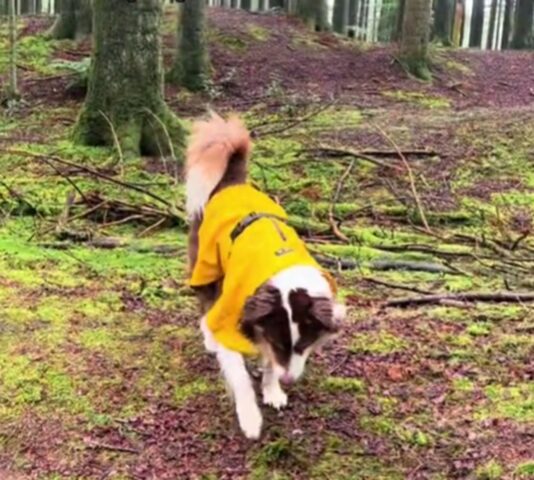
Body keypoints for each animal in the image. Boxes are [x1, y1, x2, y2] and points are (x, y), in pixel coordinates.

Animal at [186, 111, 350, 438]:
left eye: (303, 344)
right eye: (281, 343)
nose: (289, 381)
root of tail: (232, 183)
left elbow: (270, 365)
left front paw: (273, 389)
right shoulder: (233, 313)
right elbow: (239, 377)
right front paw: (250, 417)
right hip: (207, 264)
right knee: (204, 302)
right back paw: (208, 335)